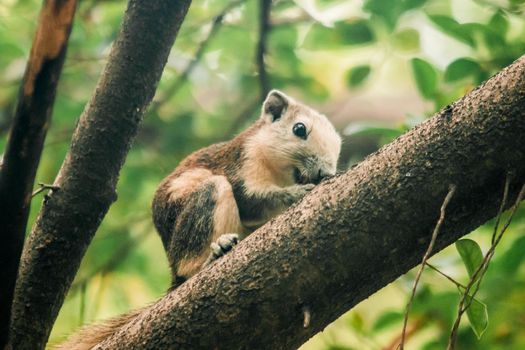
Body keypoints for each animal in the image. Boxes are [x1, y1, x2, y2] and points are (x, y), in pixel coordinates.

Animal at [57, 91, 342, 350]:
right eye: (299, 129)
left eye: (339, 147)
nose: (324, 171)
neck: (281, 174)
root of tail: (173, 274)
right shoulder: (242, 163)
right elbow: (251, 201)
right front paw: (299, 192)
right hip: (204, 204)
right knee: (189, 263)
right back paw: (212, 256)